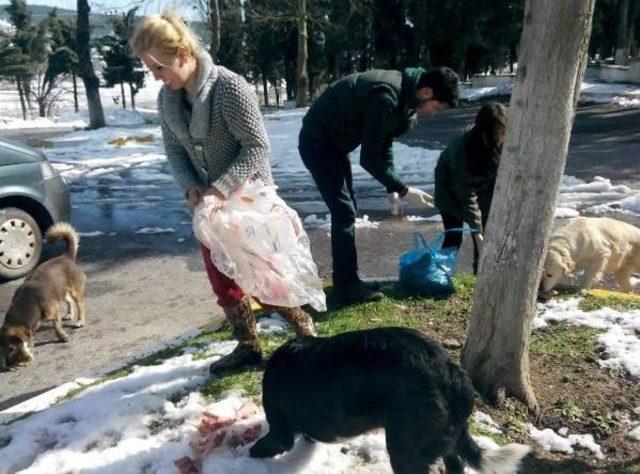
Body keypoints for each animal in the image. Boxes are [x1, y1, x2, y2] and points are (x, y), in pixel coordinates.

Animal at [0, 222, 85, 370]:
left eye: (12, 348)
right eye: (1, 351)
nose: (7, 366)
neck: (25, 306)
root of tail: (65, 257)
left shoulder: (54, 311)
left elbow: (57, 326)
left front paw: (62, 336)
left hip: (74, 290)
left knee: (79, 305)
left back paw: (80, 321)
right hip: (61, 291)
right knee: (68, 301)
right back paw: (69, 314)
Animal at [248, 328, 528, 474]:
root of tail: (451, 372)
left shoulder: (279, 430)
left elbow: (268, 444)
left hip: (405, 450)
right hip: (443, 441)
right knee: (455, 464)